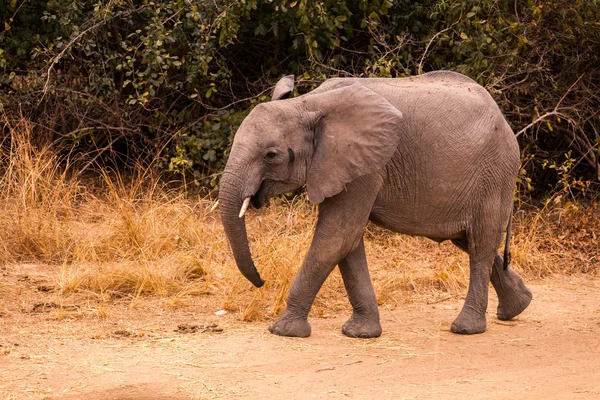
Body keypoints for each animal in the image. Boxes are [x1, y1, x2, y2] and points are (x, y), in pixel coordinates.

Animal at [218, 71, 532, 338]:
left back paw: (466, 328)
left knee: (480, 244)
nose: (261, 282)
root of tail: (504, 121)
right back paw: (518, 307)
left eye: (271, 155)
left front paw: (283, 331)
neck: (307, 104)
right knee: (470, 240)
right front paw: (361, 333)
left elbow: (336, 236)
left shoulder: (364, 167)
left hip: (494, 174)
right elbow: (348, 241)